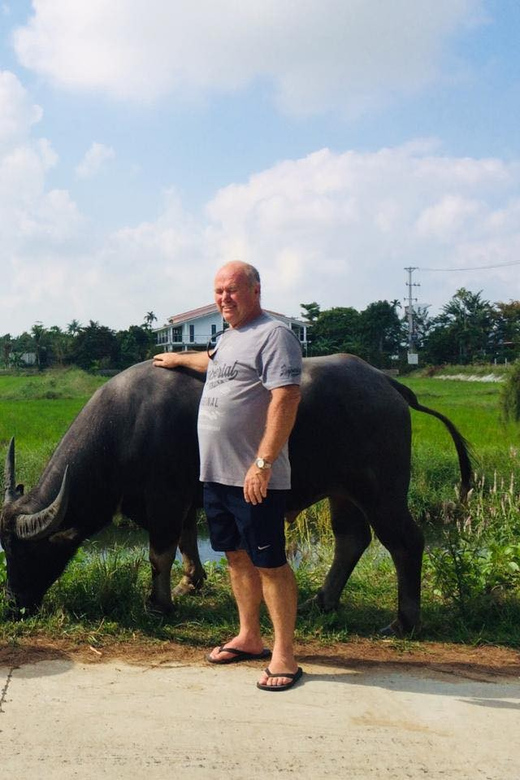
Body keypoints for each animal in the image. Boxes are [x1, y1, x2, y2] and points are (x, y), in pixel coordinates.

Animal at [0, 354, 472, 632]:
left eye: (26, 552)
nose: (15, 604)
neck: (126, 428)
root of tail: (387, 384)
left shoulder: (166, 499)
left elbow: (159, 553)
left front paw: (159, 604)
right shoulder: (184, 500)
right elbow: (187, 543)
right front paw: (190, 584)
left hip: (382, 489)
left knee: (405, 542)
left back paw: (404, 622)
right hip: (344, 491)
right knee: (352, 539)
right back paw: (322, 600)